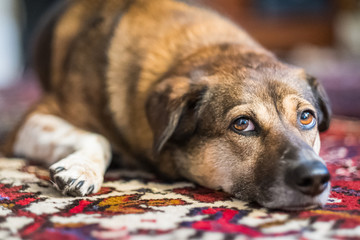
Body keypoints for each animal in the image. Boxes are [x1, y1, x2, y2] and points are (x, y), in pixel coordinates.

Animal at [2, 0, 330, 210]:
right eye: (242, 124)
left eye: (306, 117)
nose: (316, 179)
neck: (204, 51)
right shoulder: (32, 120)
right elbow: (98, 137)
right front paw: (80, 169)